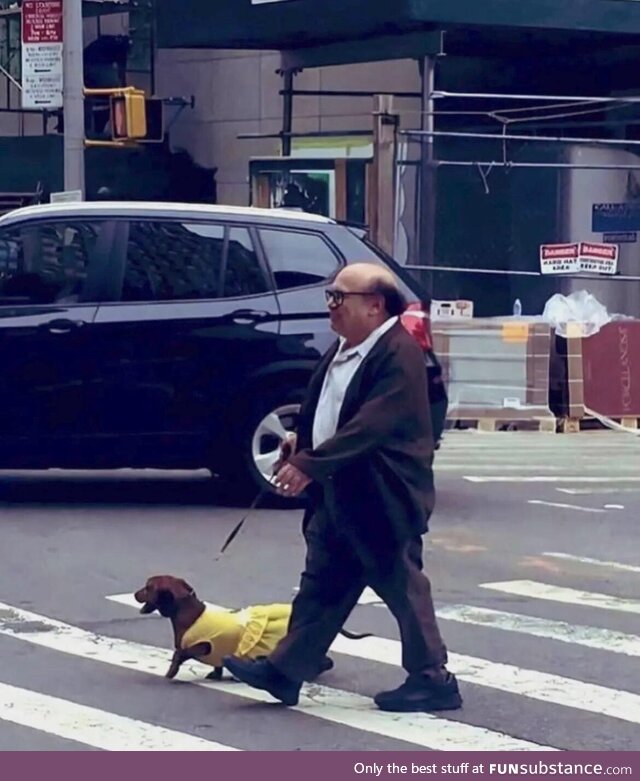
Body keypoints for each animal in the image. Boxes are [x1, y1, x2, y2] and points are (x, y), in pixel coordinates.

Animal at [135, 576, 370, 680]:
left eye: (147, 588)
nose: (136, 593)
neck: (190, 614)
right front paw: (216, 674)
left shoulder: (202, 644)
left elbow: (181, 653)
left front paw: (171, 671)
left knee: (321, 660)